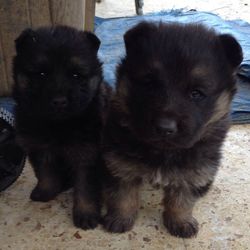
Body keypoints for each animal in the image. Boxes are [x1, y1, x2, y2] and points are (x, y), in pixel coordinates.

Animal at [11, 25, 109, 230]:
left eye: (76, 75)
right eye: (41, 74)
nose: (59, 101)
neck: (58, 125)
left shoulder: (87, 154)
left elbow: (85, 188)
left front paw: (86, 214)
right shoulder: (40, 147)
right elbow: (46, 173)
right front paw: (45, 192)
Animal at [101, 22, 242, 238]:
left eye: (196, 93)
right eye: (149, 84)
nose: (164, 128)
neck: (164, 152)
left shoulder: (194, 168)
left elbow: (182, 198)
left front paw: (180, 221)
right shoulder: (120, 161)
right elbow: (123, 194)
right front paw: (120, 218)